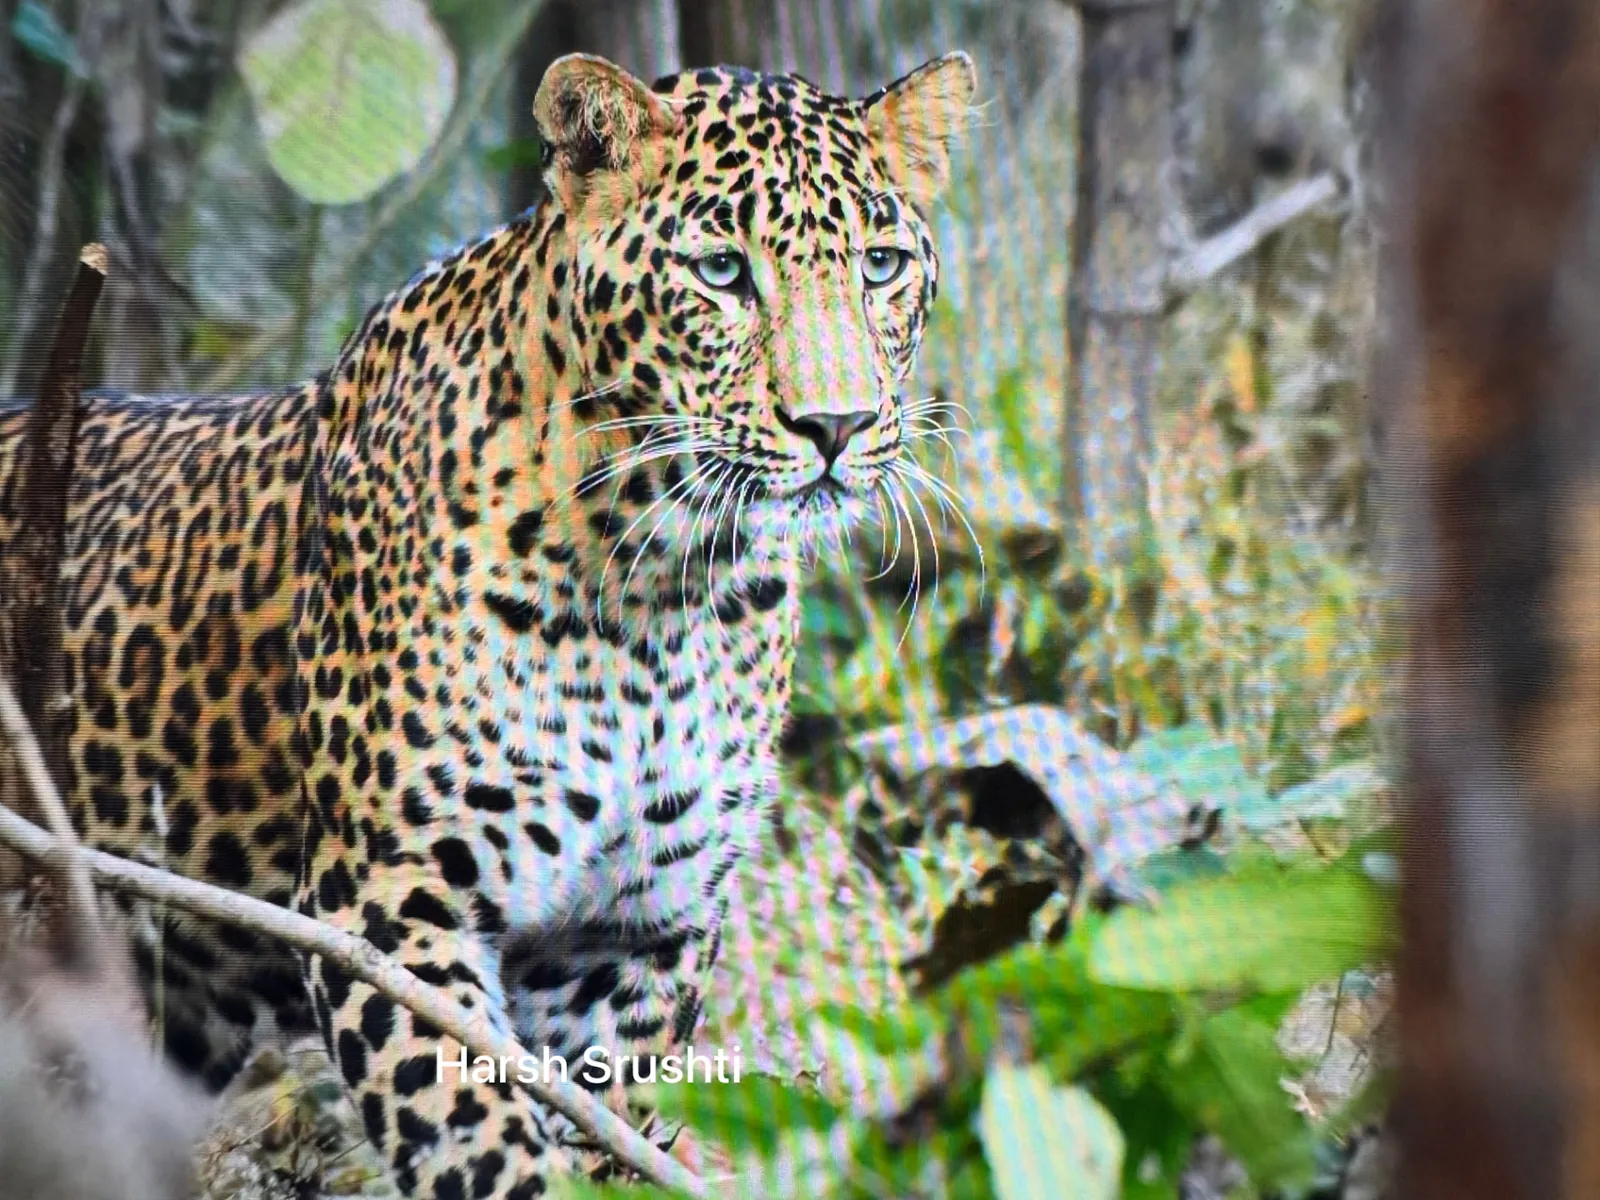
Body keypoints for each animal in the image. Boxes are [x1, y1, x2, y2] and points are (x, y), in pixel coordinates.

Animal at [0, 50, 976, 1198]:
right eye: (722, 272)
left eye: (880, 265)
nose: (838, 426)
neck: (665, 582)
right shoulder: (387, 892)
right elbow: (471, 1123)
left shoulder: (635, 935)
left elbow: (607, 1124)